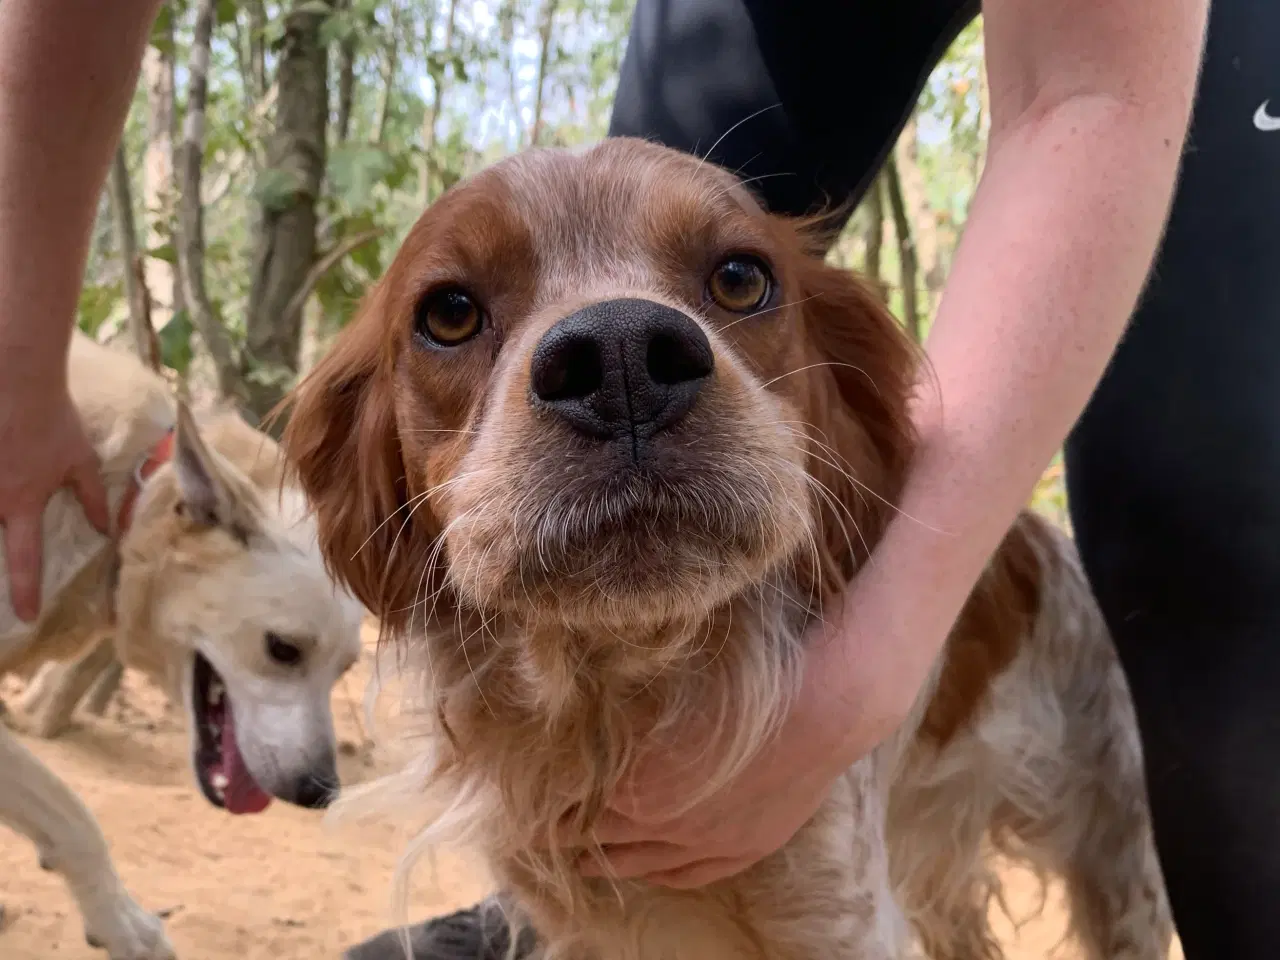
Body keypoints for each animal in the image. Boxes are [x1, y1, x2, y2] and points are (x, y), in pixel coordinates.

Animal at [285, 136, 1172, 960]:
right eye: (450, 312)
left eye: (742, 277)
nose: (621, 357)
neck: (616, 704)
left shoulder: (840, 915)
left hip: (1121, 862)